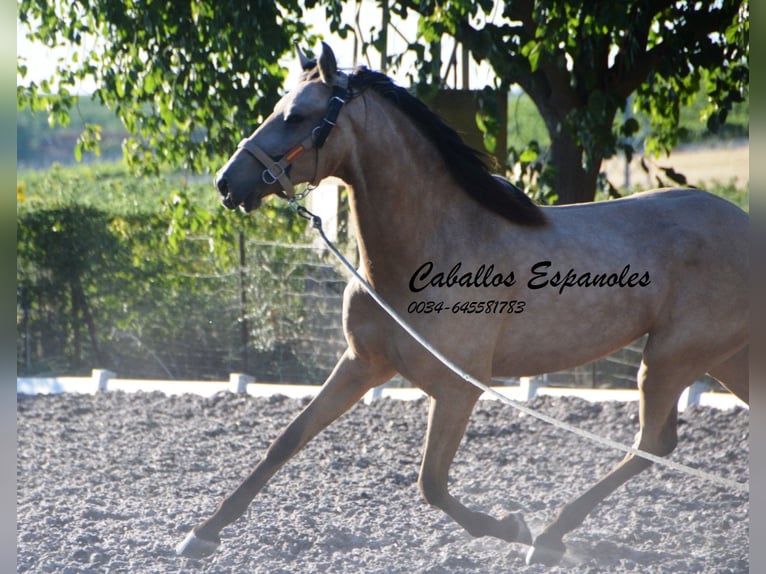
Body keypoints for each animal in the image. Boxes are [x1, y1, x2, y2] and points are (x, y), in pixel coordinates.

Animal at [176, 44, 752, 568]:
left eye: (296, 115)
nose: (227, 183)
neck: (425, 252)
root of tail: (748, 226)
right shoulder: (362, 363)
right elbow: (286, 440)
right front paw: (201, 535)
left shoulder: (458, 389)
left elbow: (431, 484)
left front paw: (515, 526)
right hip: (726, 360)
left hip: (671, 359)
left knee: (652, 443)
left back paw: (549, 538)